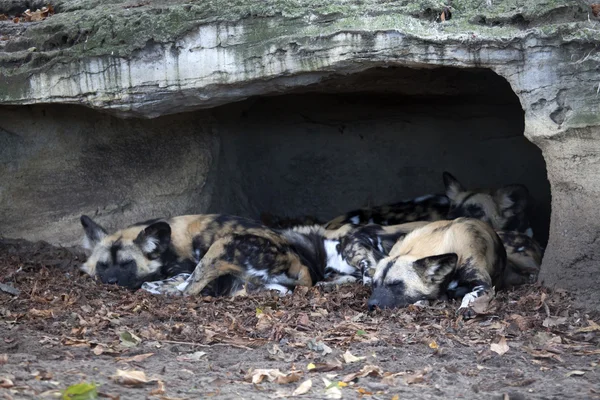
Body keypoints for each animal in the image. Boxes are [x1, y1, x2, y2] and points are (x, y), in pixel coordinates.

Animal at [368, 217, 504, 318]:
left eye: (395, 284)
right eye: (374, 284)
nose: (371, 304)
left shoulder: (485, 286)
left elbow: (470, 295)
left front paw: (467, 307)